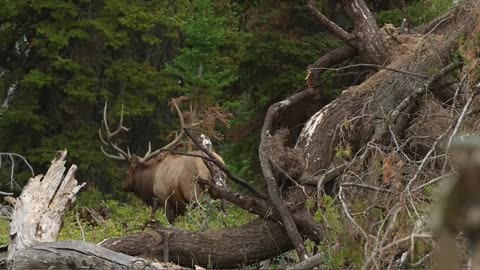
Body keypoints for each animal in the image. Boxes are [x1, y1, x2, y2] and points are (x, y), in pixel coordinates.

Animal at [99, 99, 227, 224]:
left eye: (129, 171)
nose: (123, 185)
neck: (152, 178)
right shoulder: (179, 206)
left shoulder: (164, 197)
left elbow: (170, 221)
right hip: (220, 192)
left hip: (194, 193)